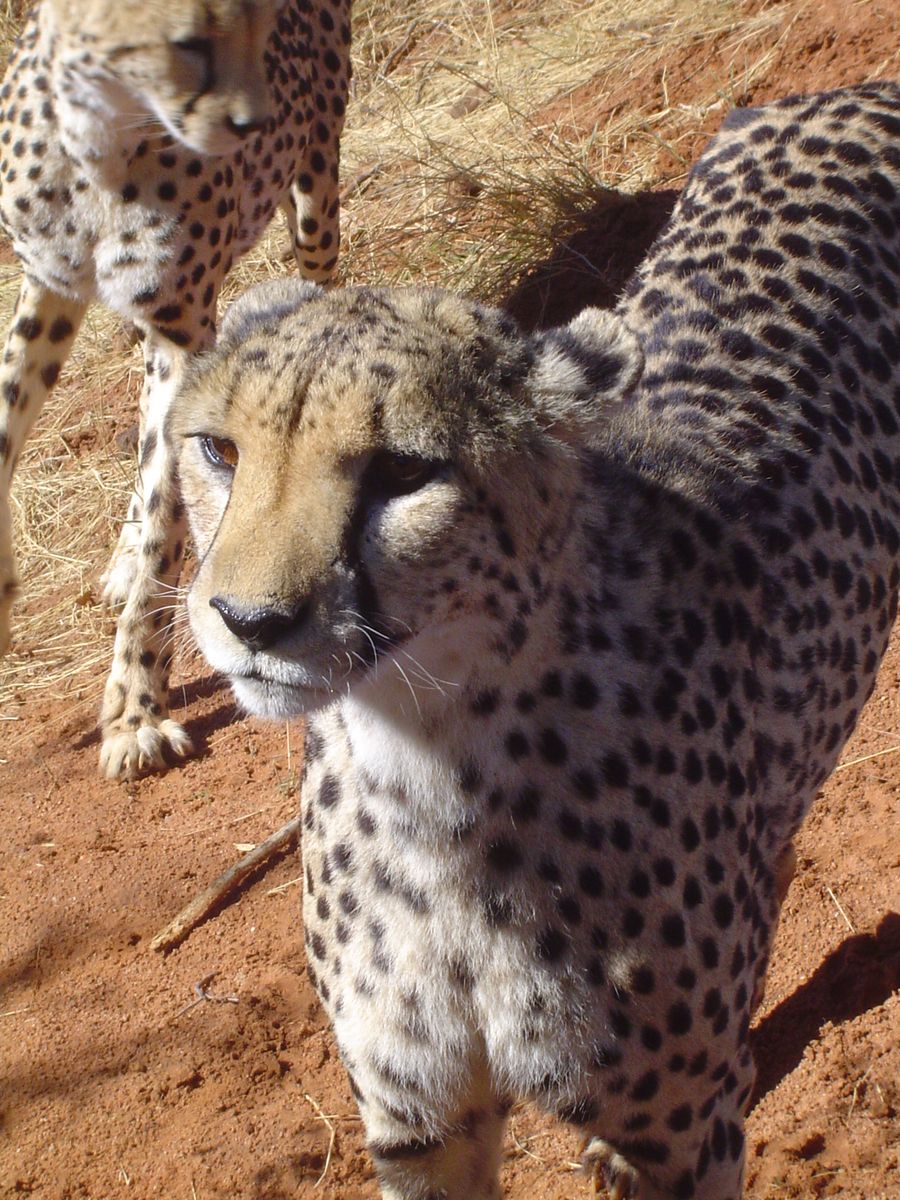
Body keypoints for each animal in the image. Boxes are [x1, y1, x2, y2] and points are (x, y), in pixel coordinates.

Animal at [0, 0, 350, 778]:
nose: (254, 121)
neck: (97, 147)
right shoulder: (49, 286)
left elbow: (168, 518)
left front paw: (135, 712)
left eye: (261, 24)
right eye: (188, 41)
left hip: (316, 190)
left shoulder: (181, 328)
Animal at [172, 82, 900, 1199]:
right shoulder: (418, 1118)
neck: (425, 759)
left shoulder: (677, 1136)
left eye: (404, 472)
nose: (250, 621)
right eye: (218, 450)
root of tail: (845, 93)